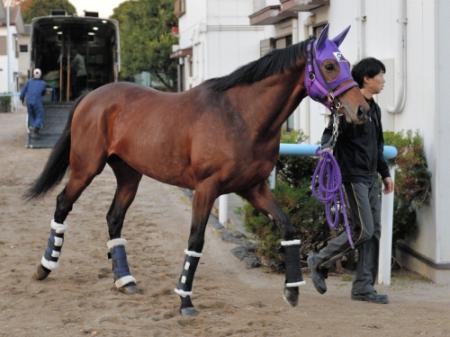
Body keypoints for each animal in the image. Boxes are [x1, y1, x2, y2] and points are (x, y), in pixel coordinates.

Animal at [25, 24, 370, 316]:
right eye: (330, 65)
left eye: (347, 63)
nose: (362, 109)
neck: (240, 115)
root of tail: (91, 97)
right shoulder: (206, 189)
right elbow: (196, 241)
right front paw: (185, 300)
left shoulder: (254, 188)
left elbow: (288, 227)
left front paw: (292, 290)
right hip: (86, 168)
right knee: (63, 203)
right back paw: (44, 266)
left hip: (129, 175)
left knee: (114, 218)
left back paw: (125, 280)